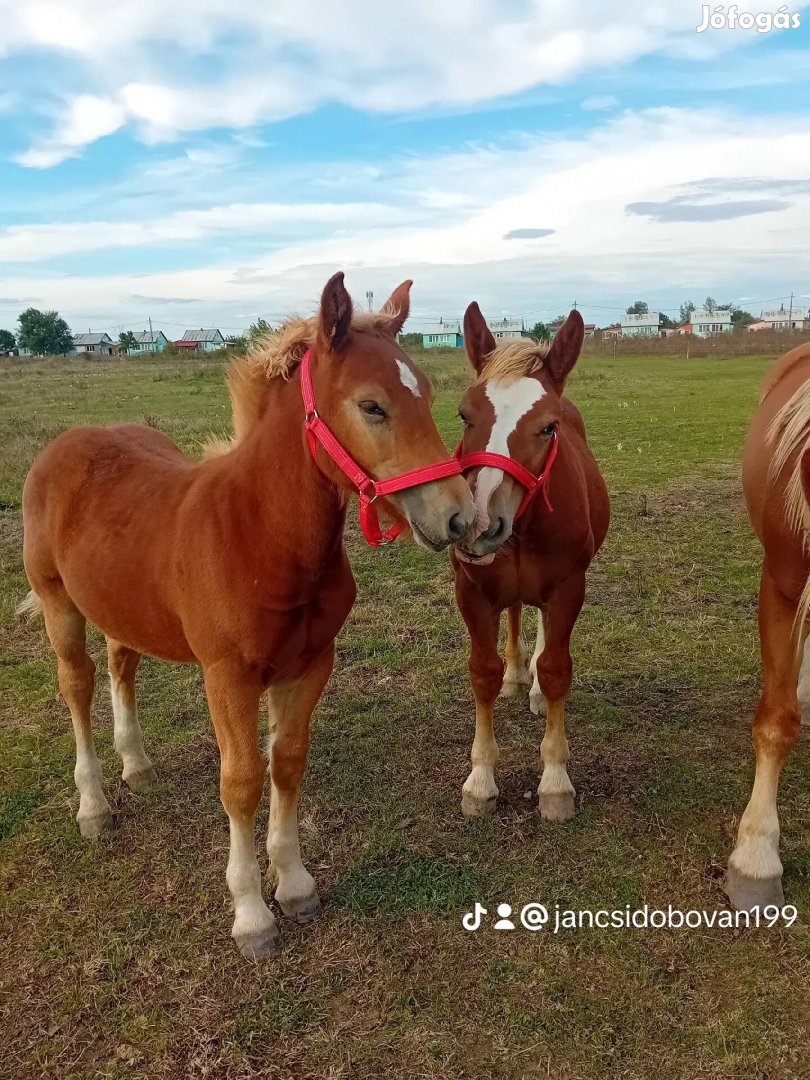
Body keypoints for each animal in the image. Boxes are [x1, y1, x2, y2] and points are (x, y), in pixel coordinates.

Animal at [19, 274, 475, 959]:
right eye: (372, 406)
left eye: (427, 392)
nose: (461, 517)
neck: (259, 534)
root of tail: (69, 443)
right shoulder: (227, 676)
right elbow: (241, 781)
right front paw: (253, 916)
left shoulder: (310, 663)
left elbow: (287, 761)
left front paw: (295, 885)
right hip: (57, 602)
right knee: (76, 685)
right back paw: (94, 806)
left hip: (122, 606)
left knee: (122, 665)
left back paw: (138, 767)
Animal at [451, 304, 609, 816]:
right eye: (464, 416)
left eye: (548, 427)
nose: (479, 522)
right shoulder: (472, 592)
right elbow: (482, 674)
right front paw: (480, 780)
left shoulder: (568, 589)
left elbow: (558, 671)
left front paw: (555, 782)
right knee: (518, 610)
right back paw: (518, 676)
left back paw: (534, 685)